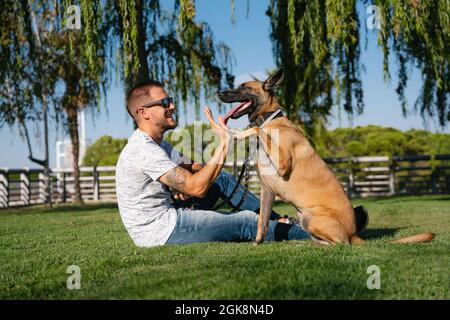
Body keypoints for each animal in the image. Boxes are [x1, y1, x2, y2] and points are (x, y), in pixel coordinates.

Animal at [220, 69, 434, 245]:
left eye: (243, 87)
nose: (220, 93)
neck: (271, 119)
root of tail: (354, 234)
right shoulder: (267, 190)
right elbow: (262, 222)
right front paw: (257, 242)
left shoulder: (283, 163)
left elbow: (257, 128)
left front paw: (238, 133)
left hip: (311, 217)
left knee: (341, 243)